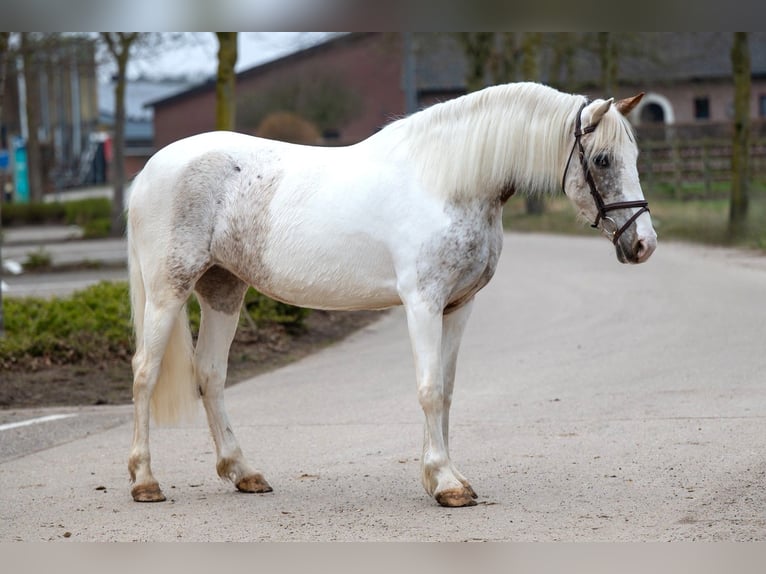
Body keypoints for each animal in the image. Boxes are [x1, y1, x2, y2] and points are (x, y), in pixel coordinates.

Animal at [127, 80, 660, 508]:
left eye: (633, 156)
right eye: (602, 159)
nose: (643, 244)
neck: (447, 181)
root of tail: (149, 170)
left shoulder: (459, 306)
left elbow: (446, 391)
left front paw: (449, 477)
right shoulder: (422, 304)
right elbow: (428, 390)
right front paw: (445, 483)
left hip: (223, 288)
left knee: (210, 375)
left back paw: (244, 473)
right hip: (168, 290)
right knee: (145, 372)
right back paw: (145, 481)